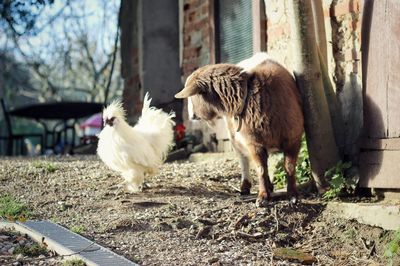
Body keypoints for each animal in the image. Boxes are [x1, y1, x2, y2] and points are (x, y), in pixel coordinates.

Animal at [175, 52, 304, 206]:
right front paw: (262, 197)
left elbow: (289, 167)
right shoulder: (253, 142)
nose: (191, 116)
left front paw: (293, 195)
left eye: (193, 96)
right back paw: (246, 186)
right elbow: (260, 169)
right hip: (234, 135)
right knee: (244, 159)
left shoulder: (293, 138)